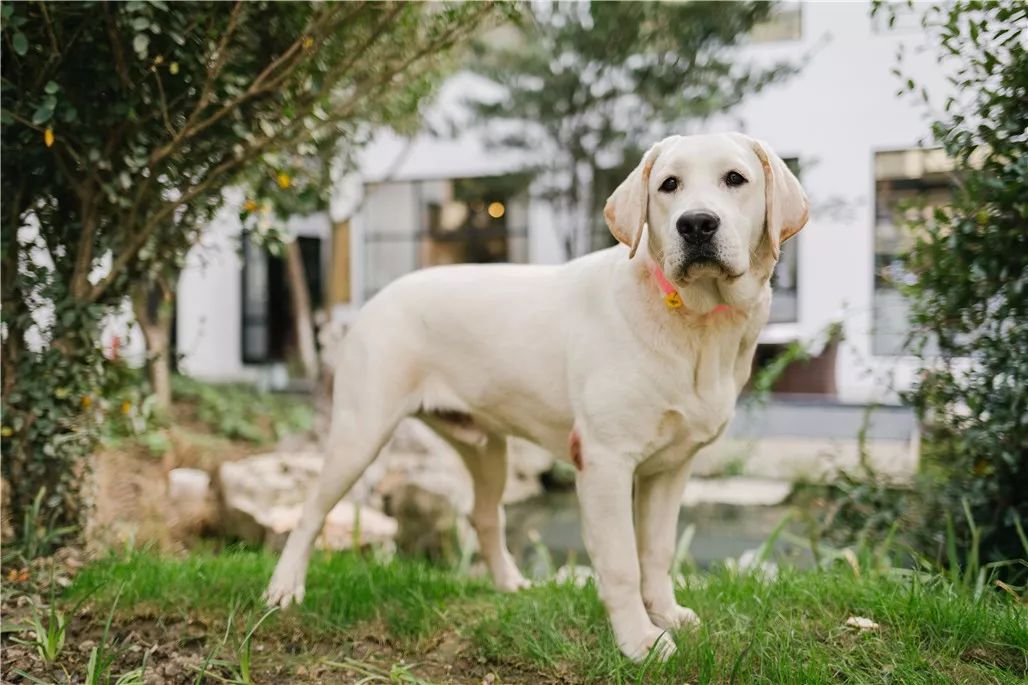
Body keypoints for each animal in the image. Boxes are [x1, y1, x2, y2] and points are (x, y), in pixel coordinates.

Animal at [266, 132, 809, 661]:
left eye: (735, 179)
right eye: (669, 185)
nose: (695, 223)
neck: (697, 323)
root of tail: (375, 299)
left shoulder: (672, 467)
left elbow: (655, 551)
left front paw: (667, 614)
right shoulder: (605, 463)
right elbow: (621, 562)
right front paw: (639, 640)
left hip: (487, 449)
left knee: (485, 514)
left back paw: (510, 583)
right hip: (361, 432)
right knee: (311, 511)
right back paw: (284, 588)